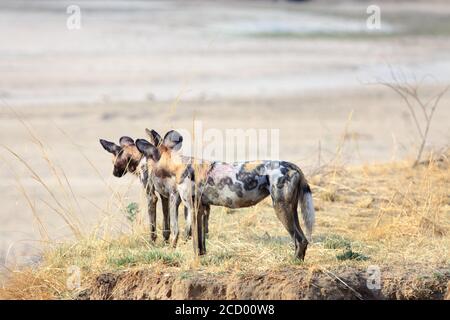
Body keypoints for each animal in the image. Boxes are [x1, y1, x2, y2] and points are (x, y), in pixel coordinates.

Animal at [137, 130, 316, 260]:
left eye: (144, 162)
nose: (139, 171)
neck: (177, 165)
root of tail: (293, 166)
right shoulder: (201, 209)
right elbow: (201, 241)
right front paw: (202, 257)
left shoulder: (192, 209)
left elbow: (194, 241)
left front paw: (194, 259)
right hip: (291, 210)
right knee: (303, 240)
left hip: (281, 208)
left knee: (299, 239)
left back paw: (293, 262)